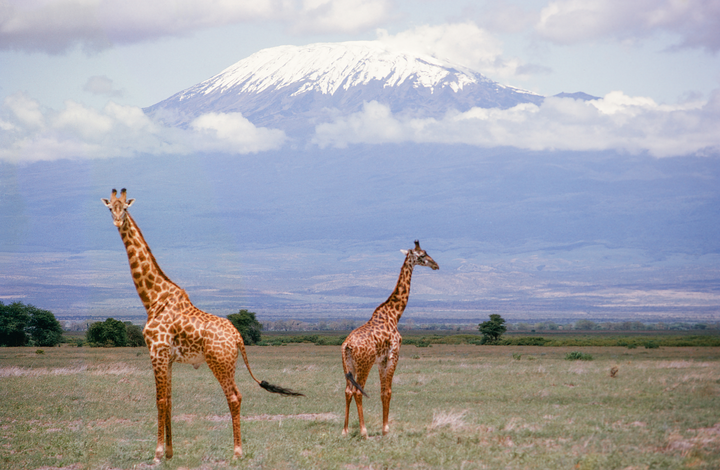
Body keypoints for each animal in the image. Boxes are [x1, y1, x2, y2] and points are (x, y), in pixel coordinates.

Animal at [102, 188, 302, 462]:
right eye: (110, 207)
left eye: (125, 208)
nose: (116, 221)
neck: (153, 299)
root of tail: (238, 337)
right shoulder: (169, 358)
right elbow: (169, 399)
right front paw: (170, 452)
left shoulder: (156, 352)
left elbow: (159, 400)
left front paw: (157, 454)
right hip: (226, 363)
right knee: (235, 396)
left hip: (220, 363)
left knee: (234, 397)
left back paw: (237, 452)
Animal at [341, 240, 439, 437]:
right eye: (422, 255)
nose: (436, 265)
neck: (394, 315)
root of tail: (347, 345)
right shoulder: (394, 354)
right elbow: (388, 391)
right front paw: (386, 429)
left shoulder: (381, 360)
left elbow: (382, 391)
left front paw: (384, 427)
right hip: (364, 364)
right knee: (357, 391)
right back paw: (363, 431)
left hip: (349, 365)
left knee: (347, 391)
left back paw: (345, 430)